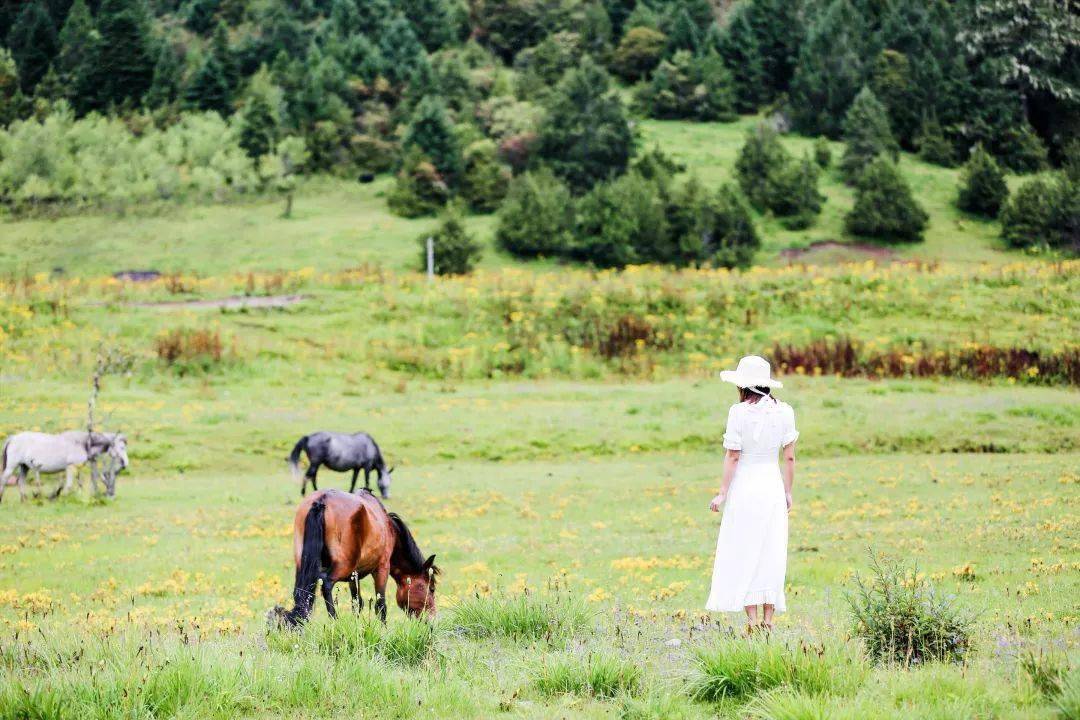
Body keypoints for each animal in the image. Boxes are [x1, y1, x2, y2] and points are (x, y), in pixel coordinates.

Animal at [0, 431, 129, 505]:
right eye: (122, 447)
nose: (125, 463)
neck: (82, 443)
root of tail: (12, 438)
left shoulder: (77, 468)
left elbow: (79, 484)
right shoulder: (70, 467)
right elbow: (69, 485)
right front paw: (64, 499)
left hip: (24, 466)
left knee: (21, 481)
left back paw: (24, 501)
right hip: (12, 466)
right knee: (4, 479)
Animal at [270, 490, 438, 626]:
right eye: (431, 588)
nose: (432, 620)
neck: (388, 527)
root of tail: (321, 500)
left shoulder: (353, 576)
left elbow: (357, 603)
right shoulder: (382, 568)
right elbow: (381, 605)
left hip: (305, 564)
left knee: (302, 592)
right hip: (343, 566)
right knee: (326, 583)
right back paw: (335, 622)